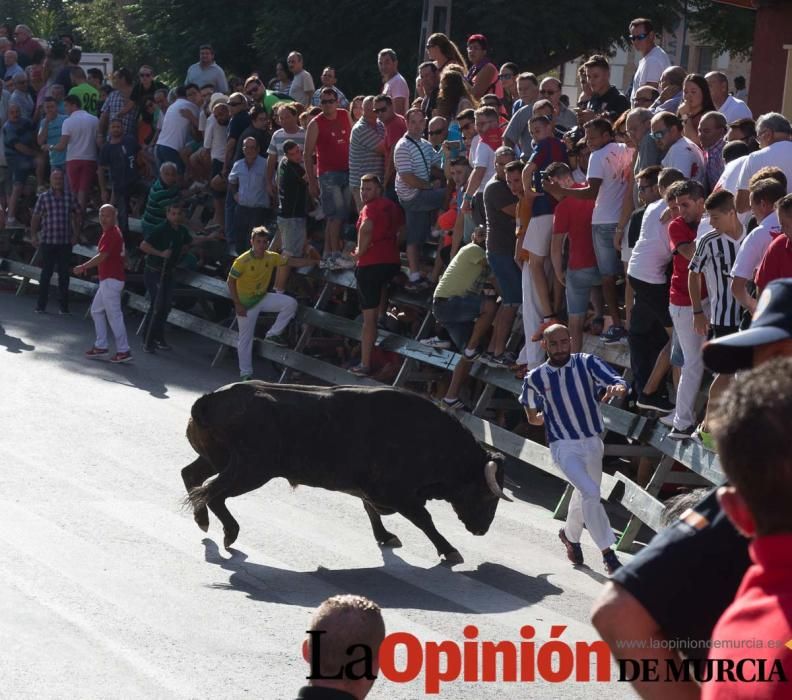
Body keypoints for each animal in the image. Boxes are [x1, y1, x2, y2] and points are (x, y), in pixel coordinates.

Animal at [183, 382, 510, 564]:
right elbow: (424, 520)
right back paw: (229, 531)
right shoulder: (398, 495)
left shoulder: (368, 489)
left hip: (218, 461)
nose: (482, 530)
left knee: (192, 477)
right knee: (212, 493)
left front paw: (385, 536)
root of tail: (207, 401)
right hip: (249, 470)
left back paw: (202, 521)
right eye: (487, 496)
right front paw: (450, 550)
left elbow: (370, 510)